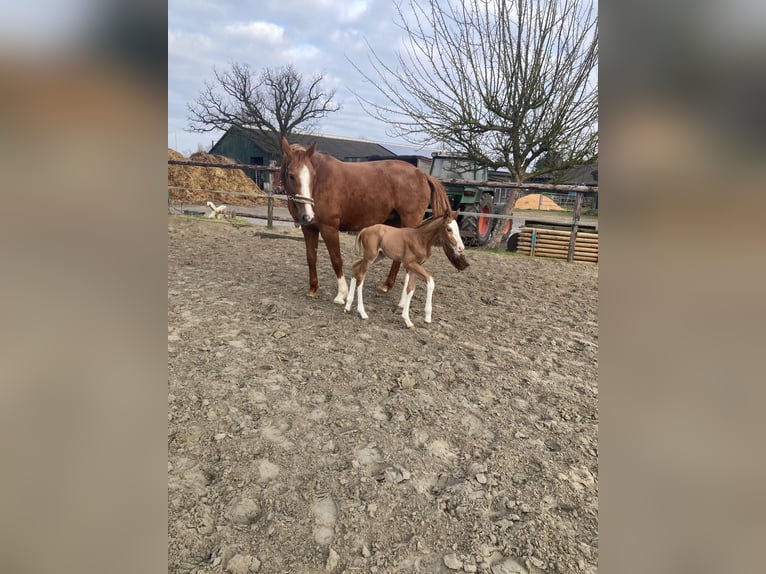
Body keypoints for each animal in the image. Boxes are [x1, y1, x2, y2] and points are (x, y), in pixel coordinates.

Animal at [279, 137, 468, 305]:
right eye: (291, 175)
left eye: (312, 175)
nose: (308, 214)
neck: (320, 183)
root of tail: (422, 174)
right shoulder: (308, 228)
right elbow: (311, 257)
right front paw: (313, 289)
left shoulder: (329, 228)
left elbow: (336, 260)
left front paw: (342, 294)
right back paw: (387, 286)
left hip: (410, 224)